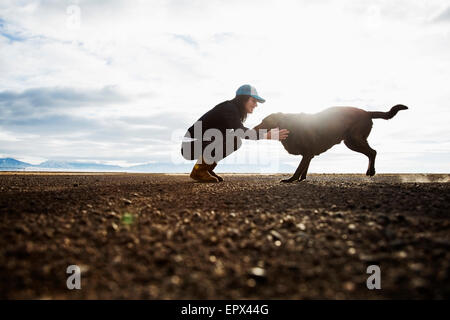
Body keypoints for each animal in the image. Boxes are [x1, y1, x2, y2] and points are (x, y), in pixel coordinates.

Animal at [253, 105, 408, 182]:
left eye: (264, 121)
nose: (253, 129)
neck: (289, 125)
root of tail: (367, 112)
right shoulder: (308, 155)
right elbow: (304, 168)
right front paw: (302, 179)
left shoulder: (307, 153)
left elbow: (298, 169)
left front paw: (291, 179)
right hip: (351, 141)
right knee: (371, 152)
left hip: (353, 140)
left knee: (373, 152)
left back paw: (371, 171)